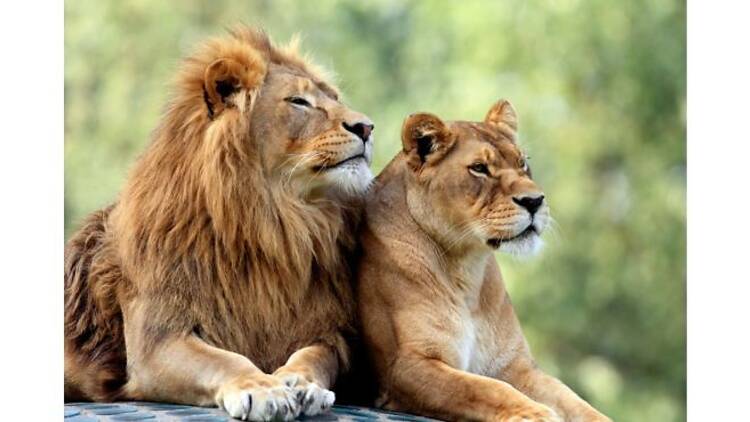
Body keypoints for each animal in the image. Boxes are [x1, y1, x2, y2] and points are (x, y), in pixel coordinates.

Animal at [66, 28, 376, 420]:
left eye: (334, 98)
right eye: (299, 102)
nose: (367, 127)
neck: (275, 224)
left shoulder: (328, 331)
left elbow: (315, 356)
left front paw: (301, 383)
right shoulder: (157, 341)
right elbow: (225, 360)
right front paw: (262, 389)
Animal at [358, 100, 612, 420]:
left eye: (522, 163)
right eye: (479, 168)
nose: (535, 201)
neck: (466, 268)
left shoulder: (515, 365)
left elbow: (572, 399)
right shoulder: (406, 366)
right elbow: (484, 389)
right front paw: (537, 413)